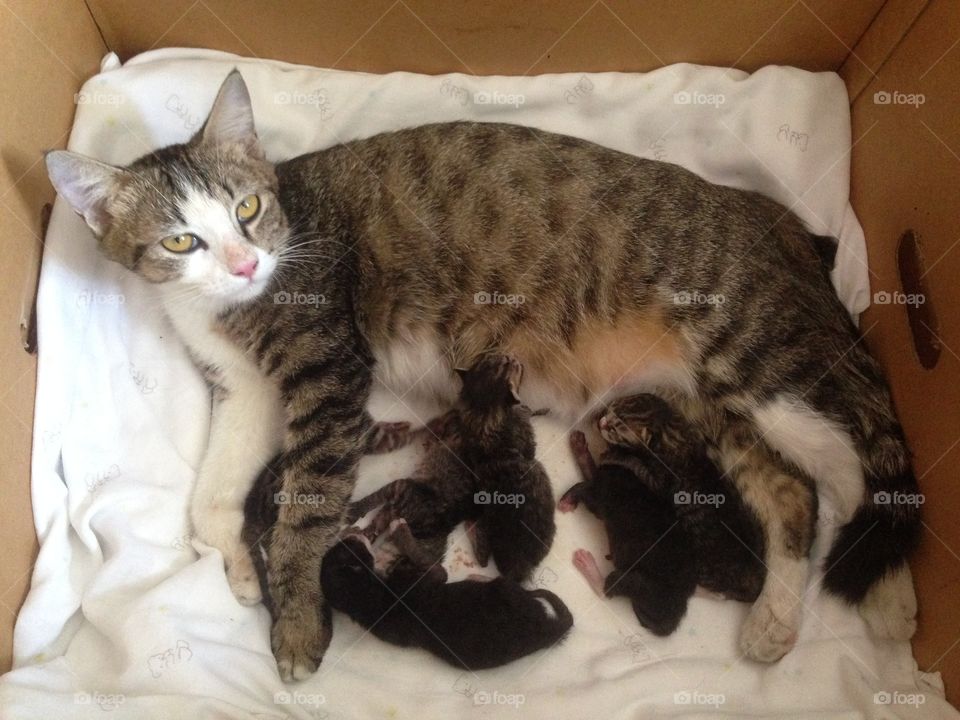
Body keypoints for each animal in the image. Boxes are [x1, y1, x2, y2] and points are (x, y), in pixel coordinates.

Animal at [322, 516, 568, 668]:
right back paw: (479, 577)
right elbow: (429, 564)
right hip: (507, 591)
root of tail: (547, 631)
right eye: (351, 549)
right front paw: (398, 529)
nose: (353, 533)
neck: (364, 600)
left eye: (341, 548)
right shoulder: (429, 576)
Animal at [596, 394, 768, 600]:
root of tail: (754, 579)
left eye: (614, 430)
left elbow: (636, 464)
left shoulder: (660, 481)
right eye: (611, 408)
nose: (602, 422)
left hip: (706, 569)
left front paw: (615, 456)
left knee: (718, 593)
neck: (671, 431)